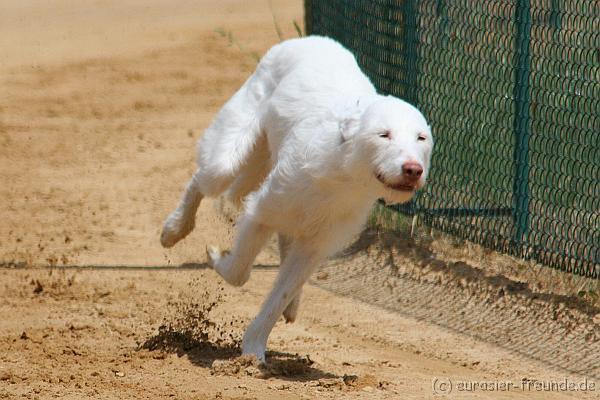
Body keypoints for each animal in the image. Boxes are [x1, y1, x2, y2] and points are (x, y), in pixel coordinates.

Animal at [159, 36, 432, 362]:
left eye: (421, 138)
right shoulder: (260, 213)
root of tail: (309, 40)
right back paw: (173, 229)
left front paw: (253, 352)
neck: (343, 173)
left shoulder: (314, 246)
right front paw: (216, 257)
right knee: (199, 181)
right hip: (225, 162)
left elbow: (278, 298)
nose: (413, 170)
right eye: (383, 135)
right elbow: (238, 272)